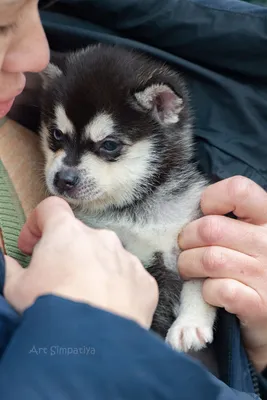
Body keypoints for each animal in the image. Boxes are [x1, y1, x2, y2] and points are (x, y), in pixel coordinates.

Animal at [39, 43, 218, 350]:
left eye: (109, 145)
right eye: (56, 134)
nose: (62, 179)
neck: (133, 207)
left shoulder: (188, 231)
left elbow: (198, 282)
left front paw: (190, 323)